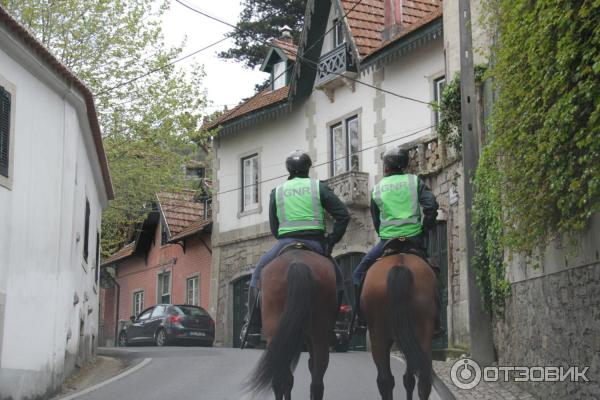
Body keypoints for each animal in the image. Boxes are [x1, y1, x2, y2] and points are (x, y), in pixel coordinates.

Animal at [360, 253, 436, 400]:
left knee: (386, 380)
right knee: (422, 379)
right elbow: (409, 379)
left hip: (379, 336)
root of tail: (400, 264)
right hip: (420, 335)